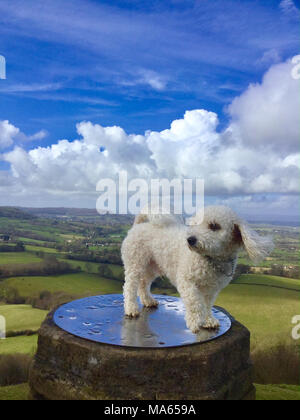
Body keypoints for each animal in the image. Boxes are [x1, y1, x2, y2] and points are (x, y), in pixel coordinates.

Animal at [120, 205, 274, 334]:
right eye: (195, 225)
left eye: (214, 226)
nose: (190, 239)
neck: (210, 259)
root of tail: (140, 224)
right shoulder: (186, 282)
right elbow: (195, 302)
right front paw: (195, 322)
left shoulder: (211, 289)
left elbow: (207, 304)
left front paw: (208, 320)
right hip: (135, 263)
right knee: (130, 286)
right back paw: (131, 308)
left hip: (153, 266)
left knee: (143, 283)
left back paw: (148, 300)